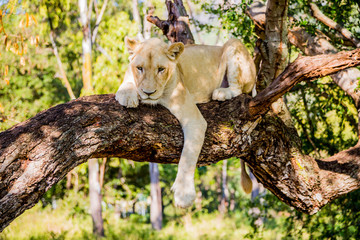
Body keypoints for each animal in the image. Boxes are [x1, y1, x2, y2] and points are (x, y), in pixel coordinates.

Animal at [115, 37, 256, 208]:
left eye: (161, 69)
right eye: (139, 68)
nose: (148, 93)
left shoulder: (194, 120)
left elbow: (188, 157)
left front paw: (184, 194)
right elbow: (127, 83)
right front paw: (127, 95)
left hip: (234, 44)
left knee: (238, 89)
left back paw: (221, 92)